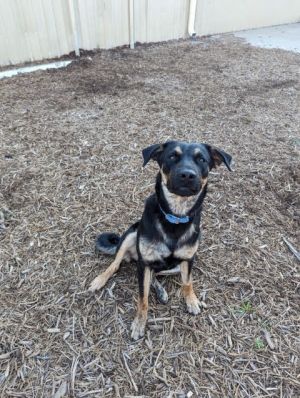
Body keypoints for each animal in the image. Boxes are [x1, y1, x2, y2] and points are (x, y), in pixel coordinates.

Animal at [89, 140, 232, 338]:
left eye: (202, 159)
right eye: (172, 156)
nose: (187, 175)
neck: (175, 217)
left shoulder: (188, 259)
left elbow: (188, 282)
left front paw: (192, 300)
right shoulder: (144, 263)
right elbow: (143, 297)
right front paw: (139, 323)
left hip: (173, 267)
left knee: (156, 275)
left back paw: (162, 291)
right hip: (131, 236)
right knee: (116, 264)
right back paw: (100, 280)